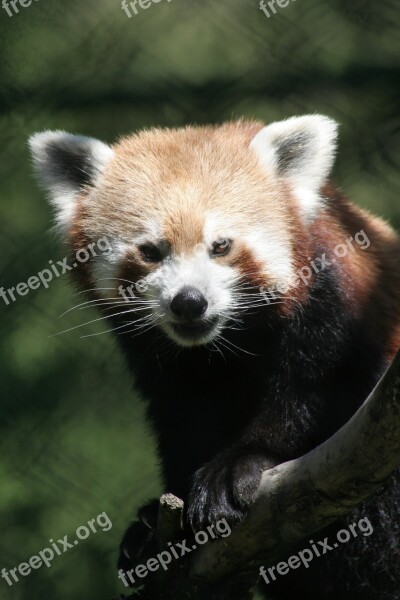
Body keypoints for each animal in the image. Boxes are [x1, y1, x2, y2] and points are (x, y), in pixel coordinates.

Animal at [29, 115, 400, 596]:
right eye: (151, 251)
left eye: (221, 246)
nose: (189, 302)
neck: (224, 345)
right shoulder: (163, 365)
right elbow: (182, 420)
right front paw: (157, 525)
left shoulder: (338, 306)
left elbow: (313, 391)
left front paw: (241, 464)